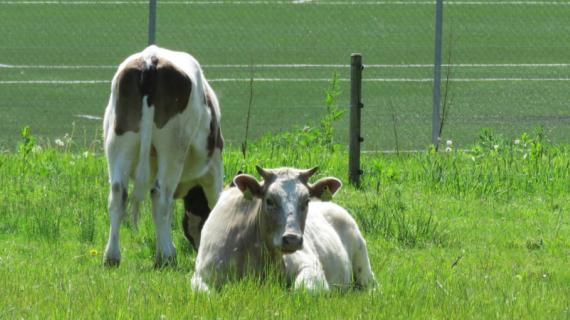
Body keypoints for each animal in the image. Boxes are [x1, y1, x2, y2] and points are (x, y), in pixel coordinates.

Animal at [102, 44, 222, 264]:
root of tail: (150, 60)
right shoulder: (214, 166)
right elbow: (215, 201)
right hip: (173, 148)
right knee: (160, 196)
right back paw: (166, 255)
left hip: (119, 142)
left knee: (118, 194)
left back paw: (112, 256)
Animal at [192, 168, 378, 292]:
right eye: (269, 200)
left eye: (306, 201)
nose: (292, 239)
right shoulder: (200, 276)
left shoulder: (311, 267)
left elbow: (303, 290)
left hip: (363, 262)